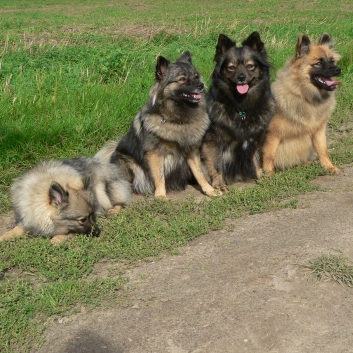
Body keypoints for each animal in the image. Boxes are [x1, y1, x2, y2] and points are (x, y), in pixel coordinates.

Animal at [0, 157, 131, 243]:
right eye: (83, 220)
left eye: (92, 216)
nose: (98, 232)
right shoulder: (27, 220)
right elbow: (14, 230)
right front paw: (3, 237)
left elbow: (67, 232)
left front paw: (56, 239)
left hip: (102, 191)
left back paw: (114, 210)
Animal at [96, 50, 217, 198]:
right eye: (182, 78)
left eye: (196, 76)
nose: (201, 85)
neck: (178, 120)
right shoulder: (155, 153)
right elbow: (159, 176)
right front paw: (160, 195)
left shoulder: (192, 152)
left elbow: (200, 174)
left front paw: (210, 190)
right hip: (127, 162)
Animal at [201, 31, 276, 188]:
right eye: (231, 67)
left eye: (250, 66)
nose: (241, 77)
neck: (242, 108)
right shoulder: (213, 139)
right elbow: (216, 163)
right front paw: (219, 184)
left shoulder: (255, 138)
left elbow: (256, 159)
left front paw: (261, 176)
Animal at [262, 33, 340, 174]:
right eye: (318, 63)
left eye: (331, 60)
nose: (338, 70)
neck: (305, 96)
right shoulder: (273, 133)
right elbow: (269, 155)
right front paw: (268, 173)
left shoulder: (319, 131)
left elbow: (323, 150)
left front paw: (328, 167)